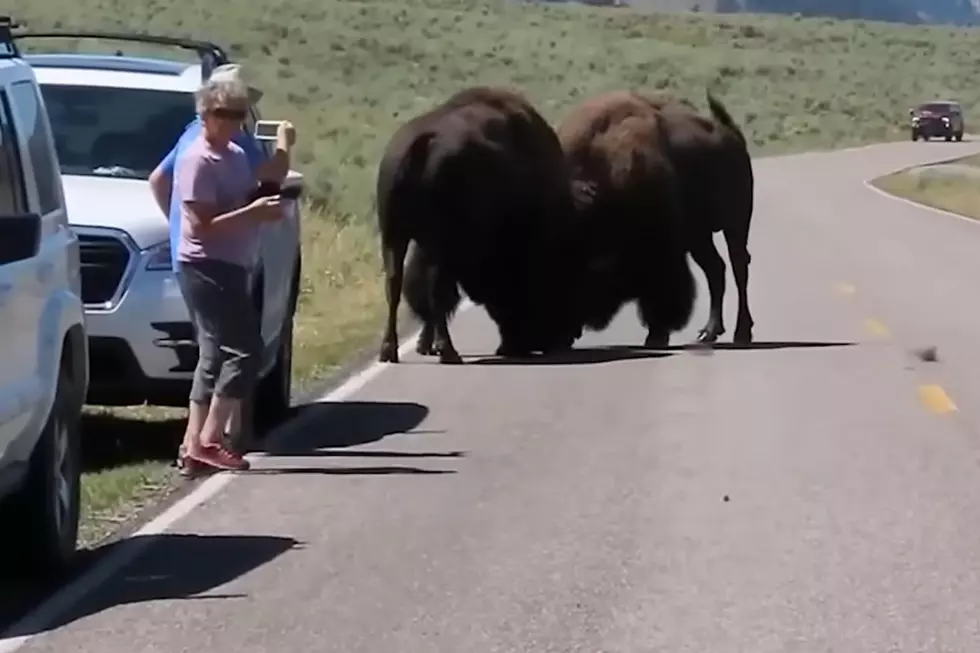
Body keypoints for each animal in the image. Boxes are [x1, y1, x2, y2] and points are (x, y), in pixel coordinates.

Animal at [376, 84, 580, 364]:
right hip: (436, 246)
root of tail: (422, 142)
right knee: (435, 292)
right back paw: (449, 352)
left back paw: (390, 350)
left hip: (393, 237)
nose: (568, 336)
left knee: (395, 286)